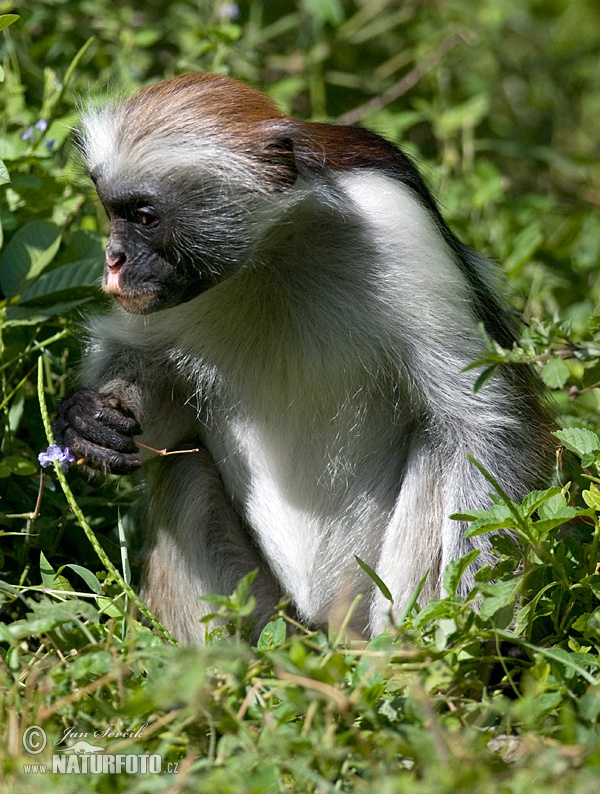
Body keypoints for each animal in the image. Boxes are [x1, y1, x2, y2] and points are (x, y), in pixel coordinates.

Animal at [54, 72, 552, 644]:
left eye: (144, 216)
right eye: (111, 211)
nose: (113, 260)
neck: (276, 254)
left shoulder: (396, 223)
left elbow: (485, 424)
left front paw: (475, 617)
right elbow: (147, 377)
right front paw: (88, 422)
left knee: (442, 448)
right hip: (271, 616)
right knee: (186, 470)